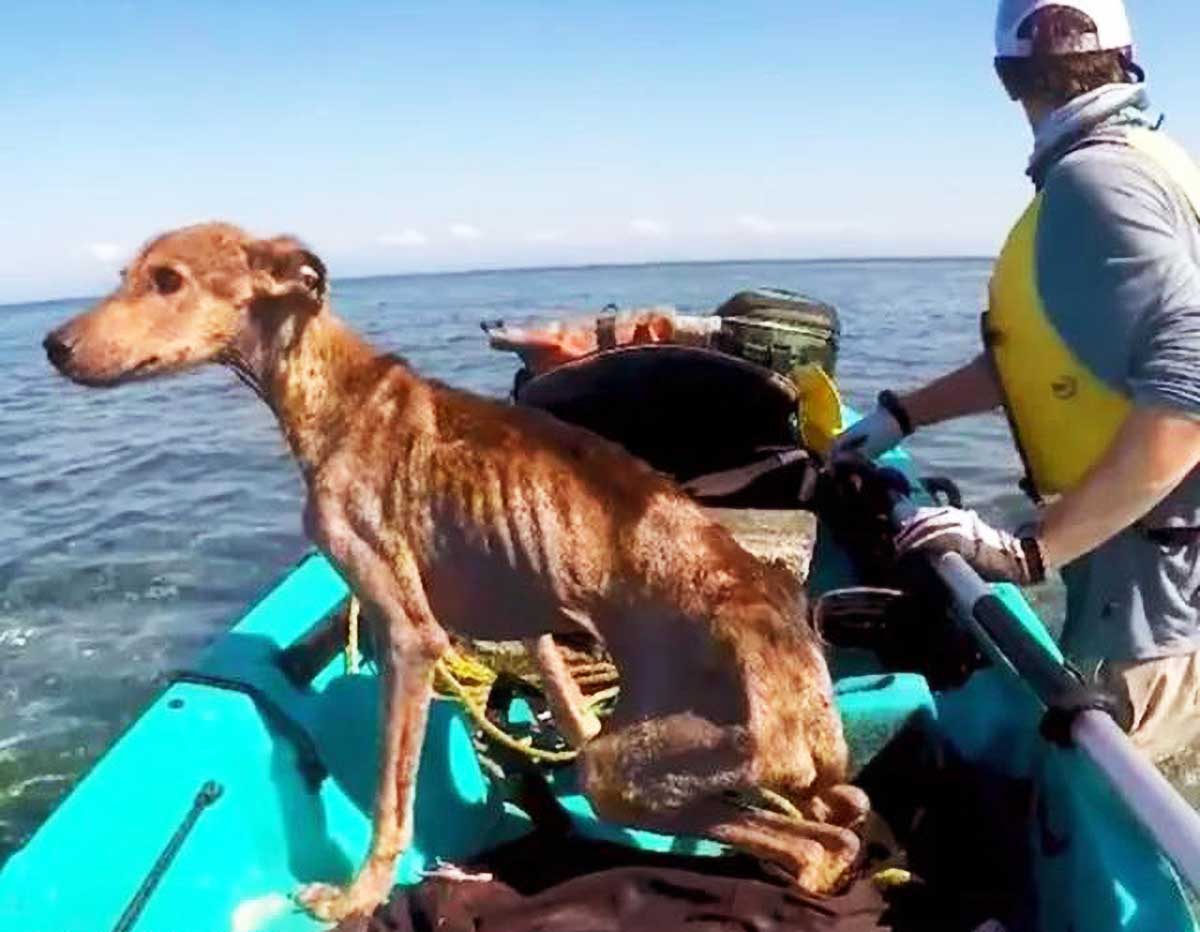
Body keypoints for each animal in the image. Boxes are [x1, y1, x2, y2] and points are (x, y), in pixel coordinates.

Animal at [46, 221, 868, 921]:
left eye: (167, 280)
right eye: (127, 275)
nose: (53, 344)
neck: (338, 392)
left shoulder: (410, 637)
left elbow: (392, 800)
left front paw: (357, 896)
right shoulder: (526, 609)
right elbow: (560, 686)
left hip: (632, 769)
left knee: (824, 846)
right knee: (838, 825)